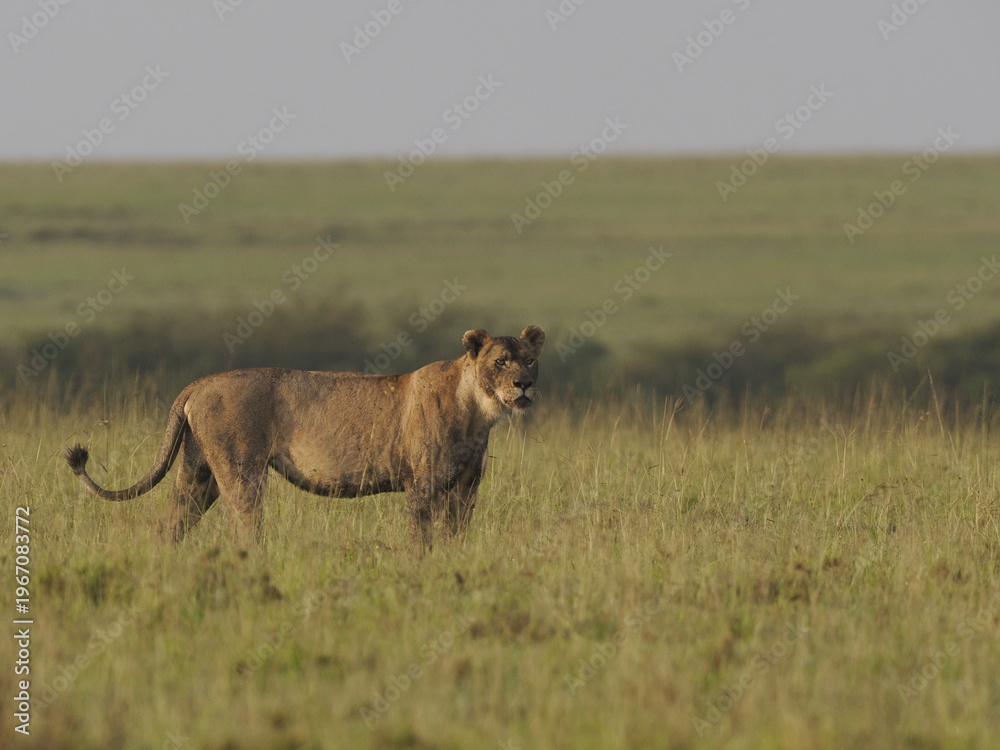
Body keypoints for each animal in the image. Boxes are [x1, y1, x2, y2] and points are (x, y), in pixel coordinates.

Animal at [65, 325, 544, 549]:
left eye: (530, 360)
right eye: (500, 362)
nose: (523, 385)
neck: (477, 411)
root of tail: (200, 382)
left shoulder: (466, 487)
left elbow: (455, 537)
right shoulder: (421, 483)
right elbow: (422, 537)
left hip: (198, 472)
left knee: (172, 524)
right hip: (241, 470)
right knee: (245, 526)